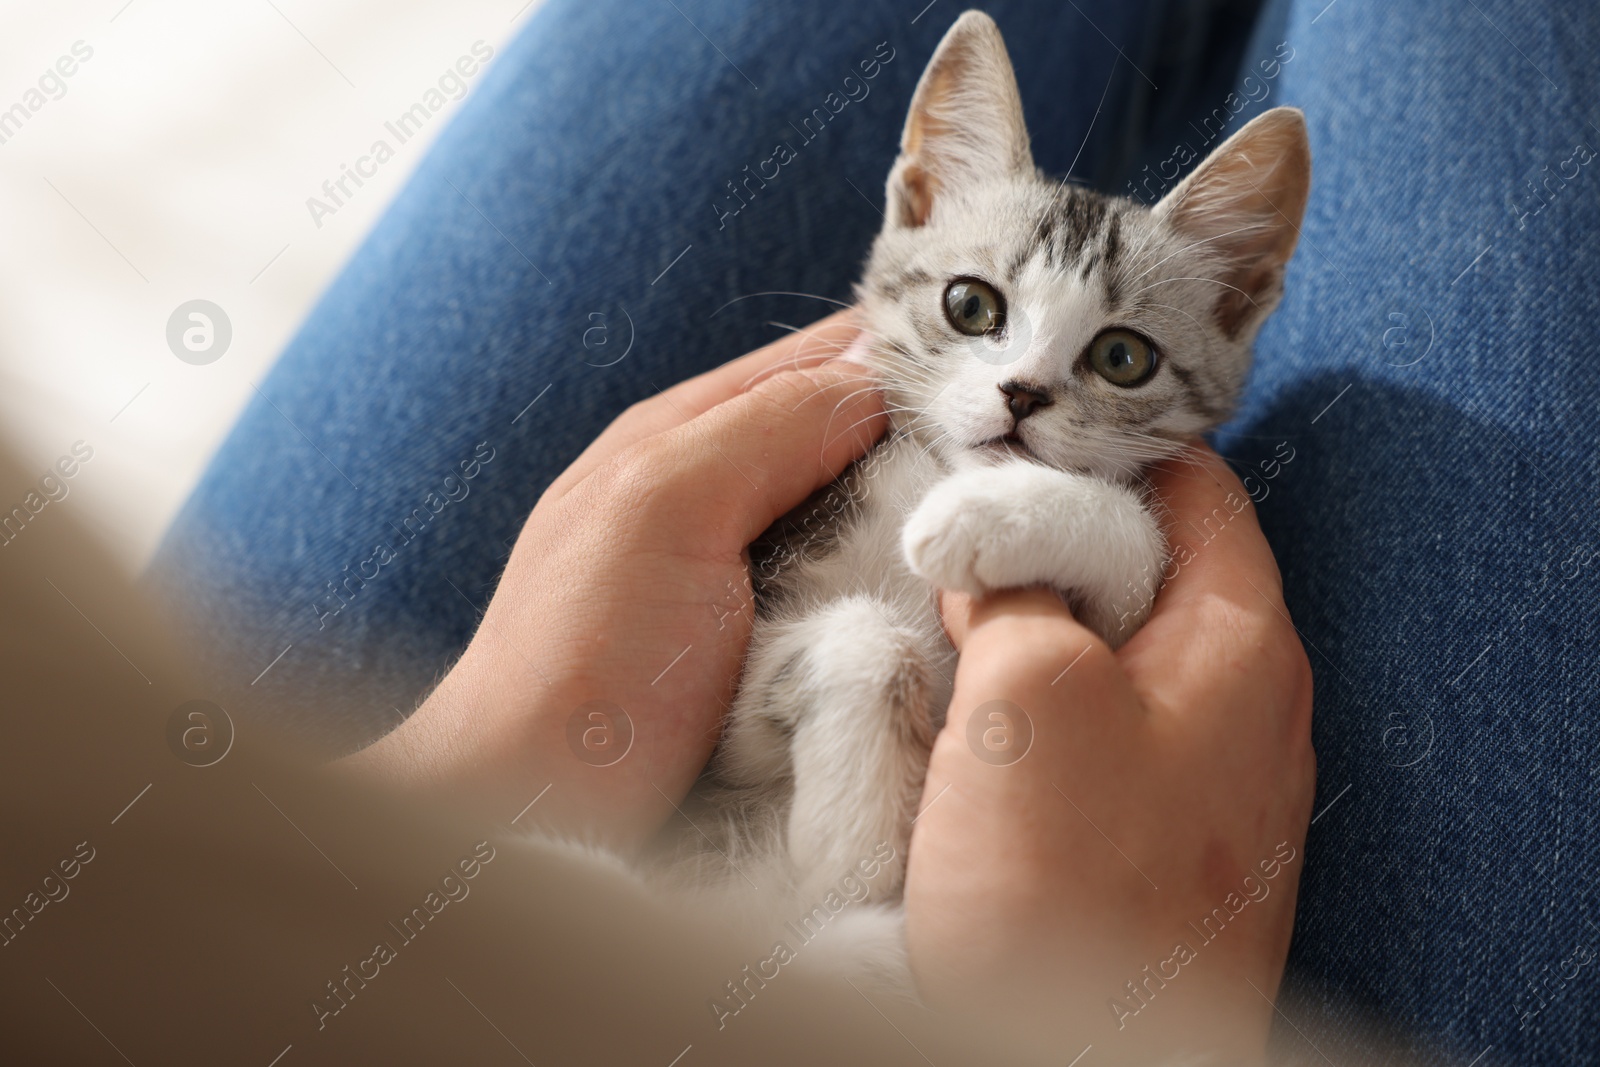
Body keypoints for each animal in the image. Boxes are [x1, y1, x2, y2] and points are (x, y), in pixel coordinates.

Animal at [649, 8, 1312, 991]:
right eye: (970, 304)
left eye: (1124, 357)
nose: (1022, 393)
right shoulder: (725, 719)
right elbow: (859, 636)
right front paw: (853, 843)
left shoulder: (1116, 623)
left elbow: (1132, 542)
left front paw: (985, 515)